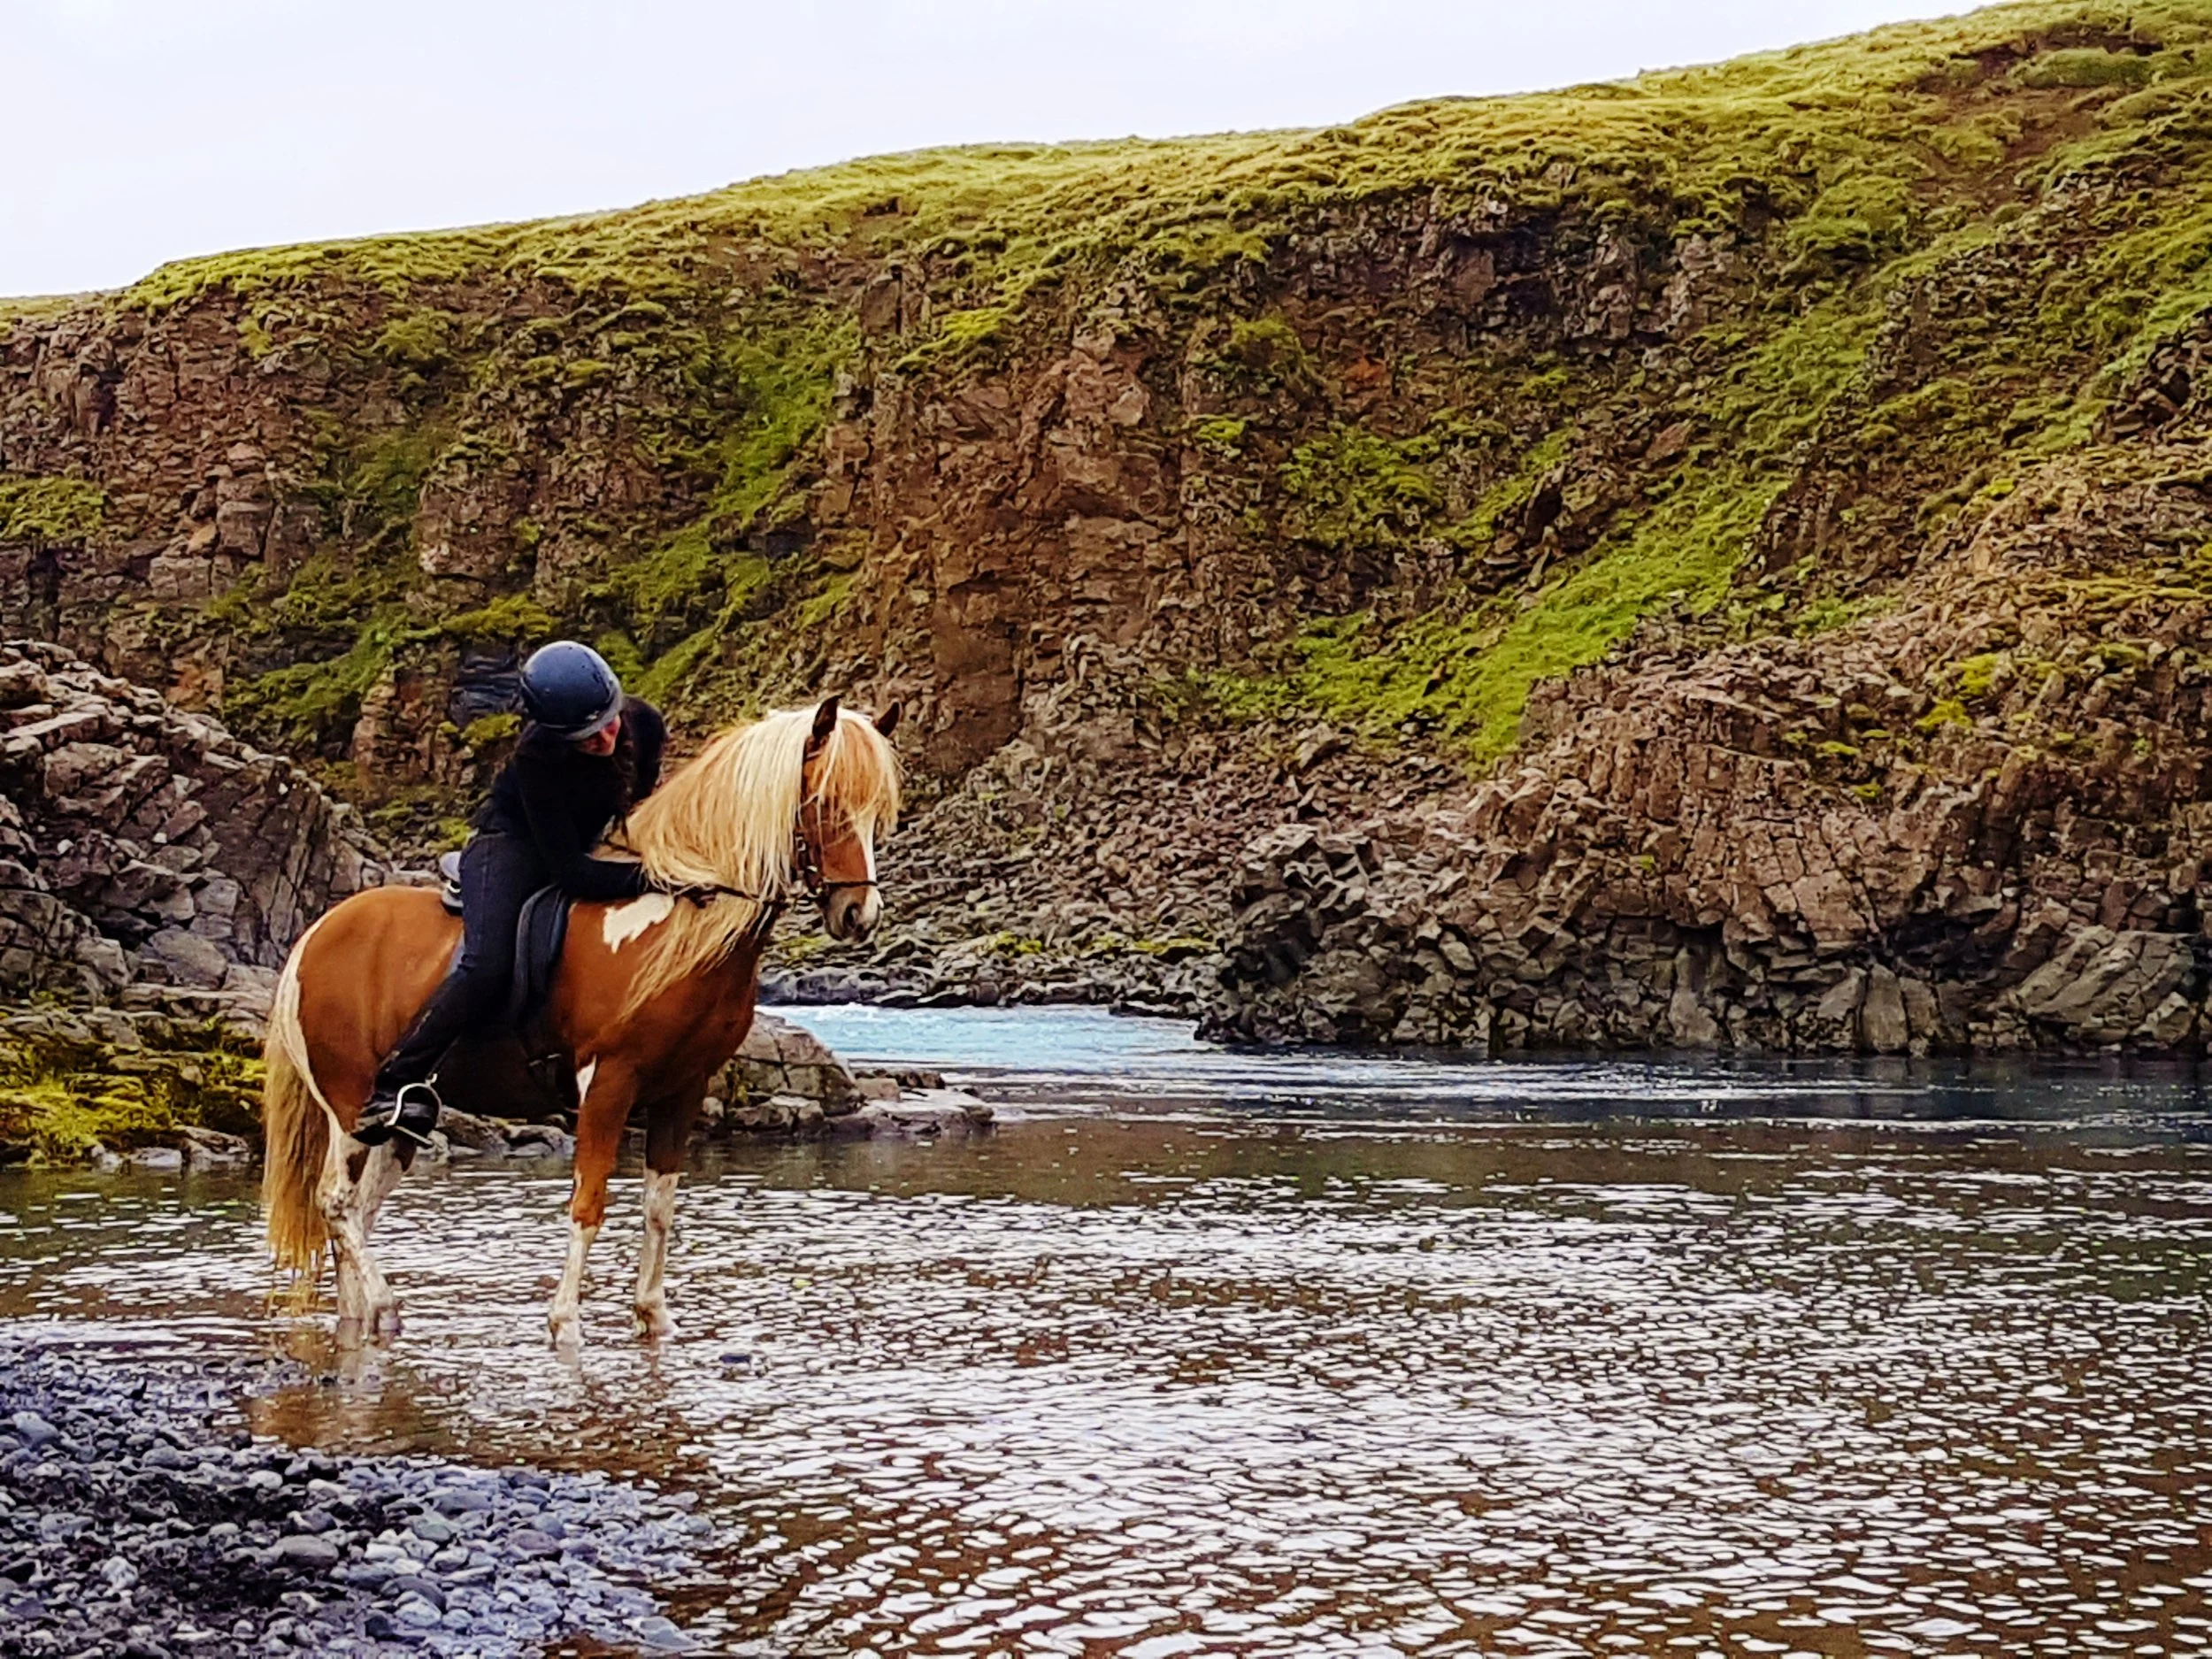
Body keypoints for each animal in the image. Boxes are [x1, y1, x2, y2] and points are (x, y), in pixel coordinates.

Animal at [259, 696, 902, 1349]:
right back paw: (385, 1305)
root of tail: (316, 936)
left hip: (405, 1123)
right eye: (825, 801)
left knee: (358, 1212)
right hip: (349, 1105)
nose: (860, 913)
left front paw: (654, 1316)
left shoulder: (682, 1089)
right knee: (336, 1202)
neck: (672, 927)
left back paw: (362, 1315)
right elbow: (588, 1203)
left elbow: (659, 1208)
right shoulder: (609, 1081)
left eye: (877, 811)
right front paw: (565, 1322)